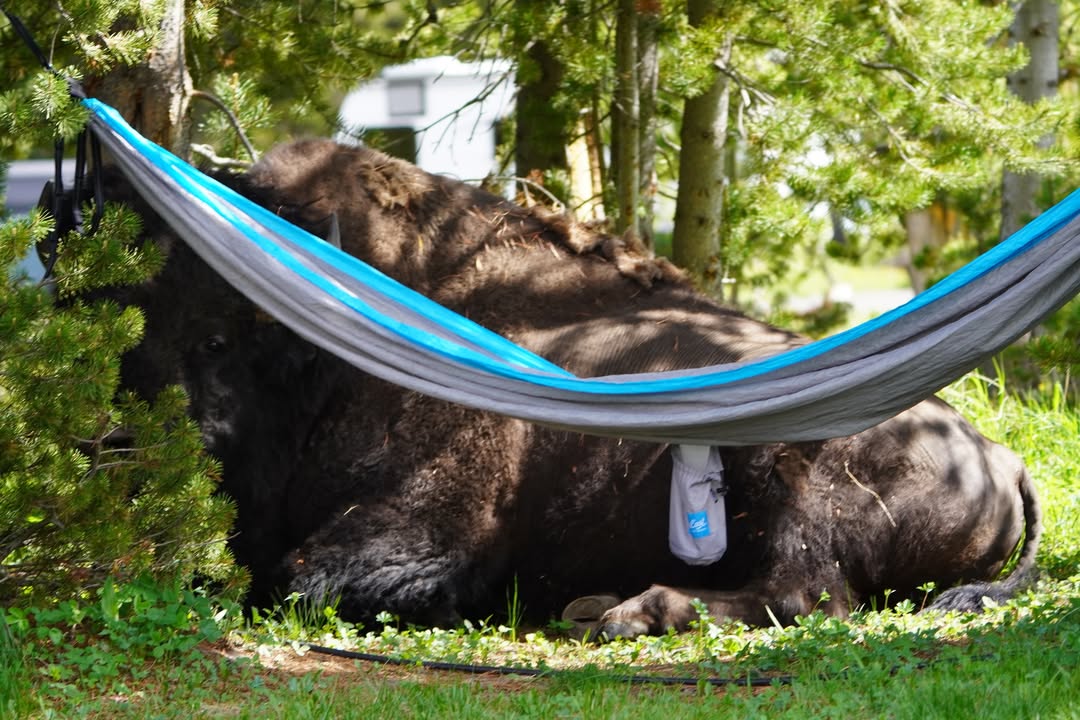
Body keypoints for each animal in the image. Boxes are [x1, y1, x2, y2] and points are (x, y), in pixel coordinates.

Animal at [74, 140, 1040, 637]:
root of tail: (1001, 459)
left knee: (804, 593)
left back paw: (626, 611)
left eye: (217, 335)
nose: (113, 443)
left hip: (789, 466)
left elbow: (301, 578)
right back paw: (597, 605)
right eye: (112, 311)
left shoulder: (423, 528)